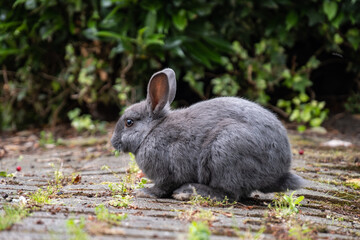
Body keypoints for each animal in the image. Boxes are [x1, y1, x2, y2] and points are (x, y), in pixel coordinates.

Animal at [110, 68, 304, 201]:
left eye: (129, 122)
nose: (113, 142)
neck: (150, 132)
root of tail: (279, 172)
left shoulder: (167, 172)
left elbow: (163, 187)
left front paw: (145, 192)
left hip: (225, 151)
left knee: (229, 194)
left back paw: (188, 192)